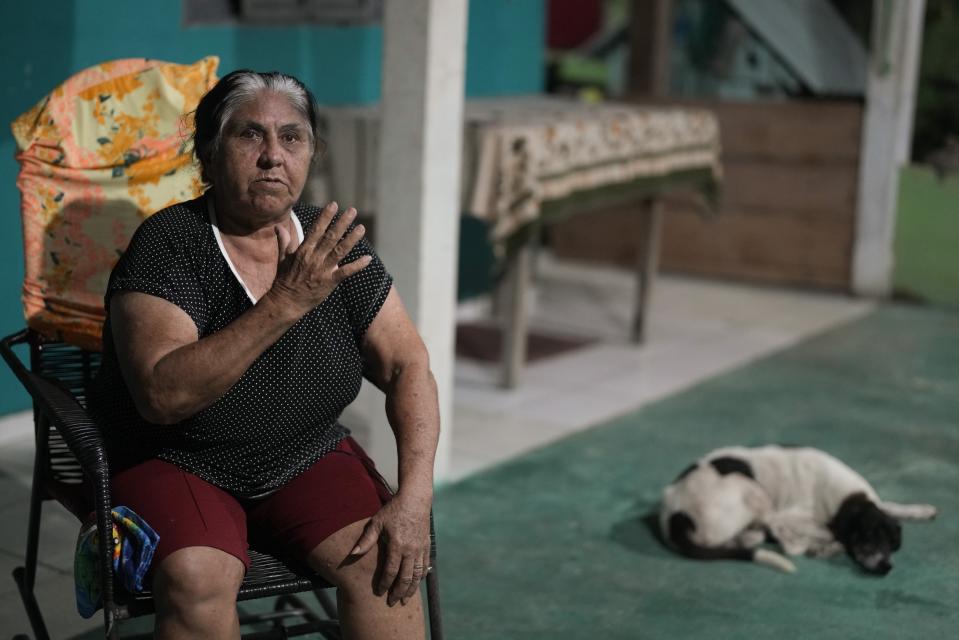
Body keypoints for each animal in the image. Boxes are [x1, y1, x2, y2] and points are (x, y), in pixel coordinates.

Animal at [660, 444, 936, 576]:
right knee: (783, 540)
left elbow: (890, 505)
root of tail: (674, 513)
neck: (843, 497)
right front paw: (825, 544)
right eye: (868, 537)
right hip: (753, 491)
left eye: (892, 544)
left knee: (753, 537)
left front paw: (920, 510)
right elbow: (826, 531)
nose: (886, 566)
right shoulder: (791, 515)